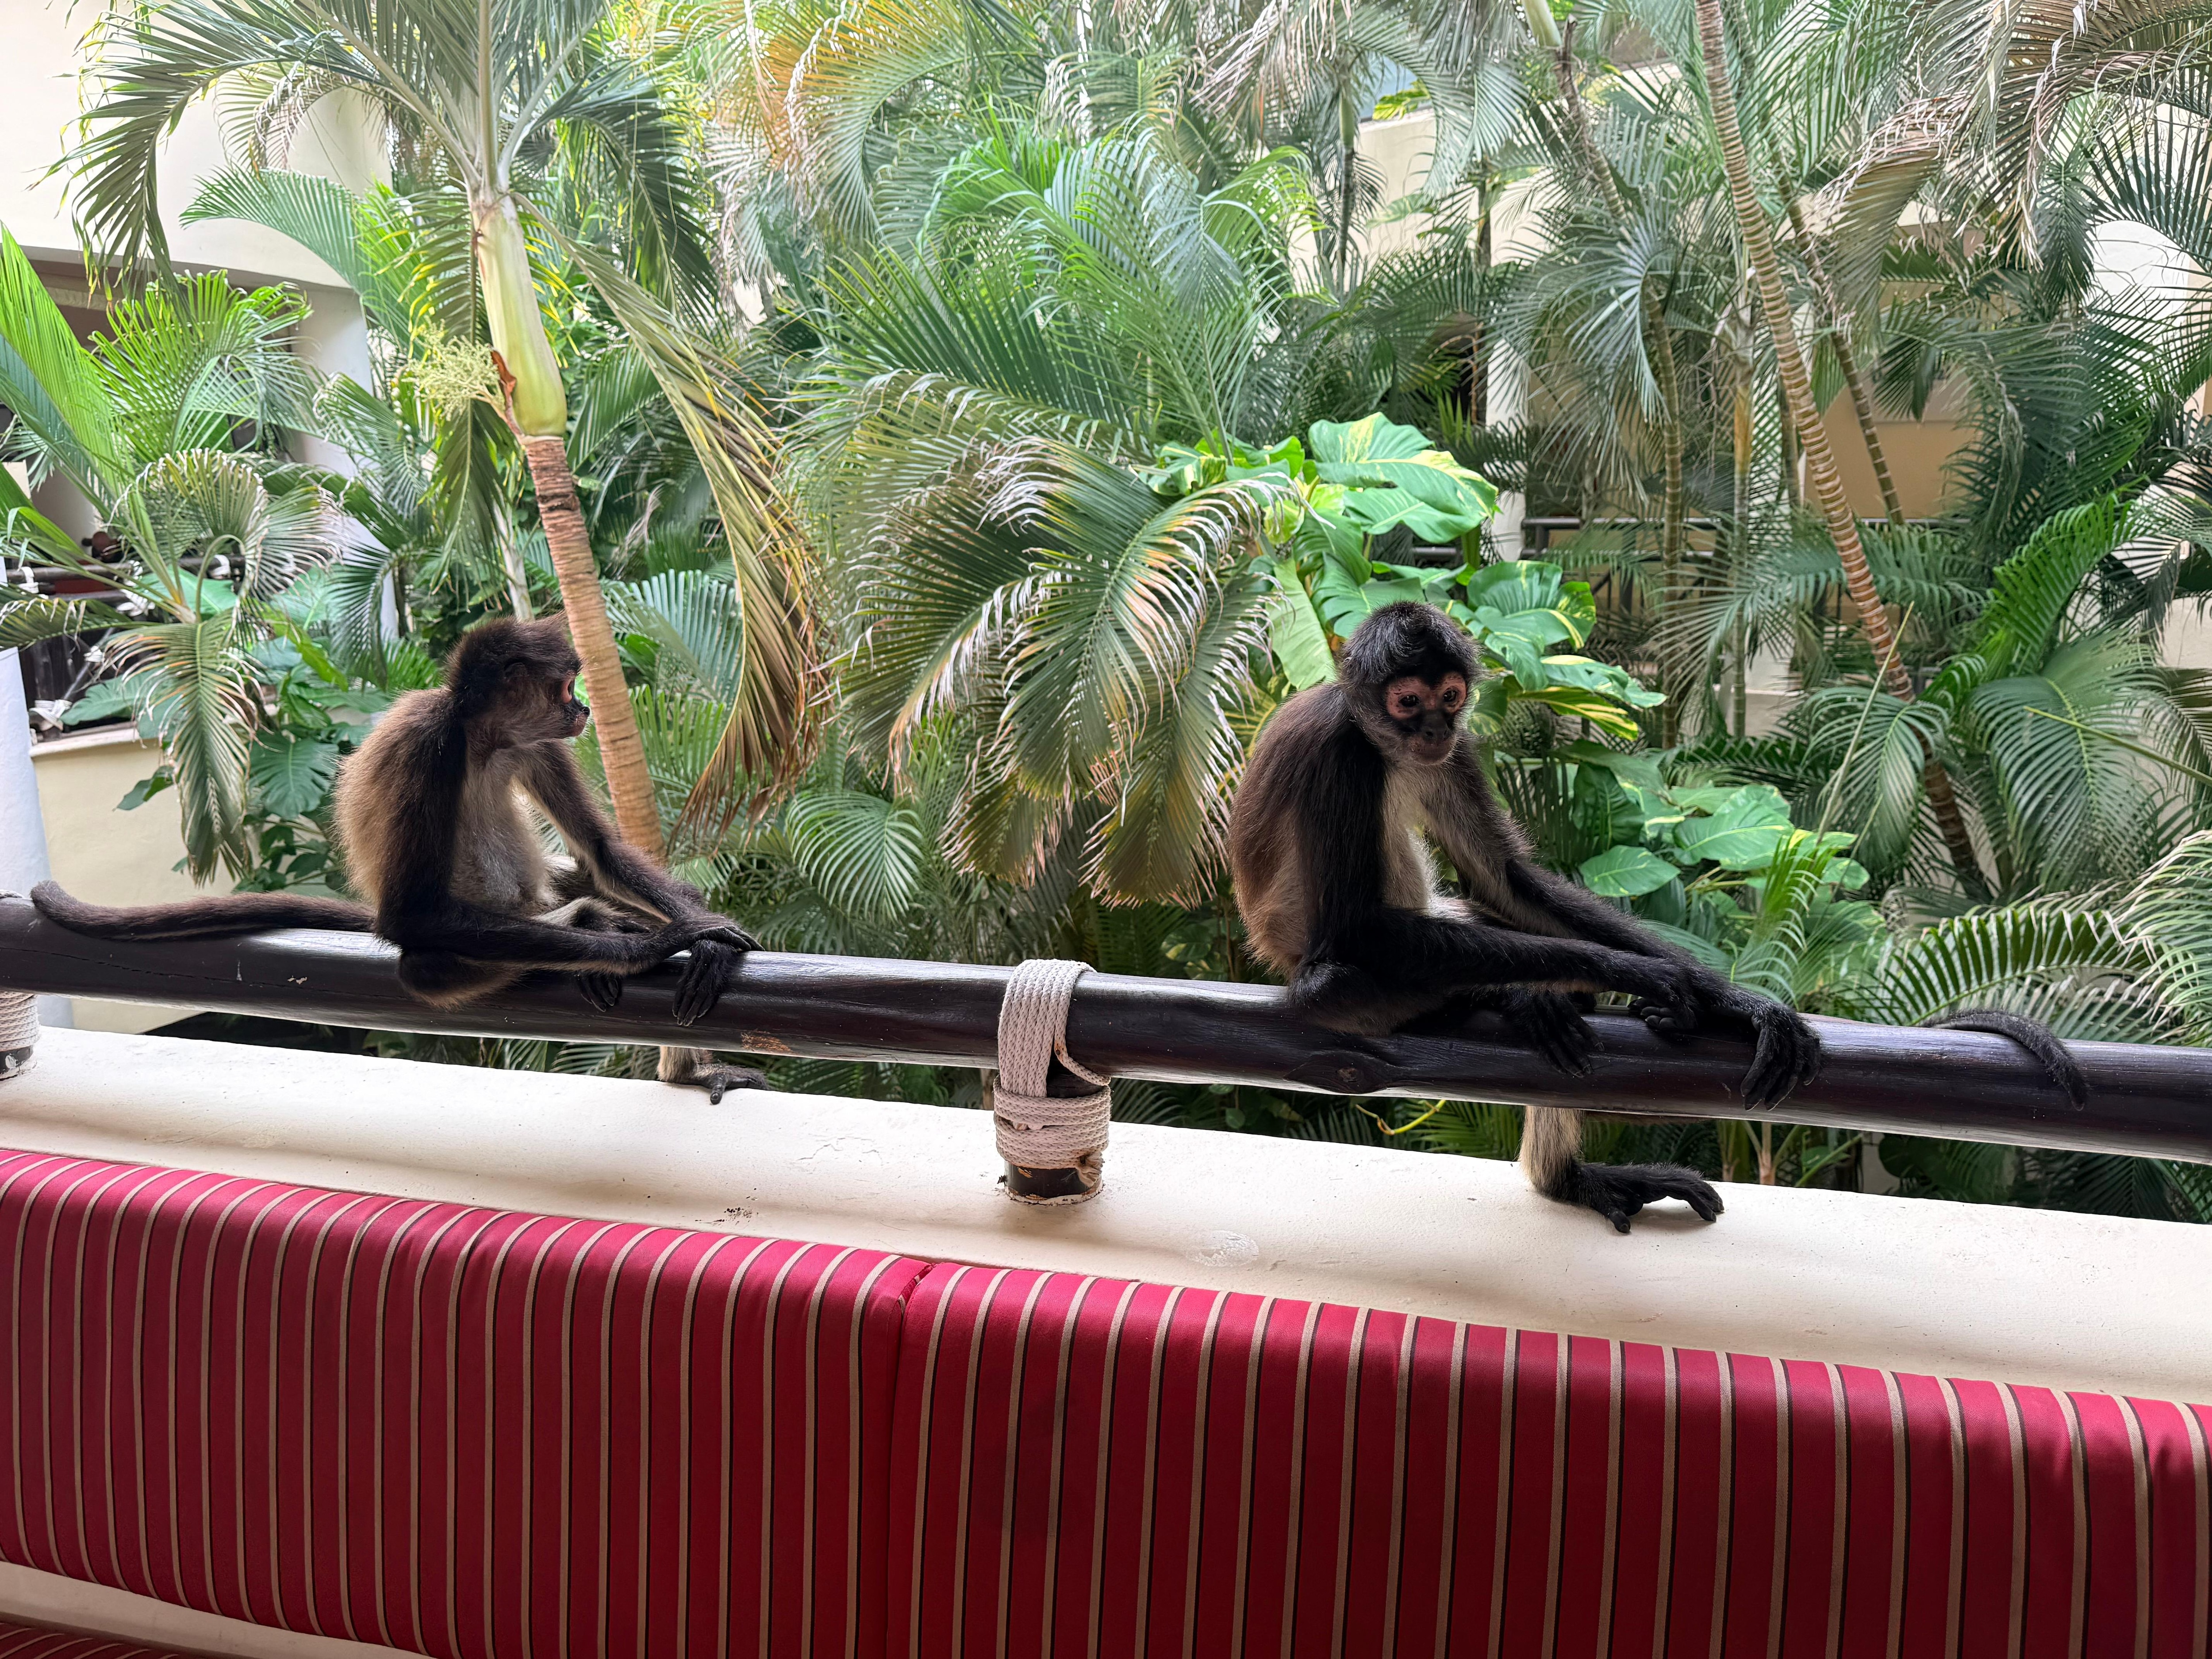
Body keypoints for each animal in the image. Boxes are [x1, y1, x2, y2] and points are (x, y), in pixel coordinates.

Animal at [33, 616, 766, 1102]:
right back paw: (588, 932)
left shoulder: (533, 743)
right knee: (427, 959)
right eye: (565, 689)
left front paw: (706, 940)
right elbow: (411, 915)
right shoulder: (433, 745)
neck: (481, 740)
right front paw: (656, 941)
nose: (584, 707)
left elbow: (603, 849)